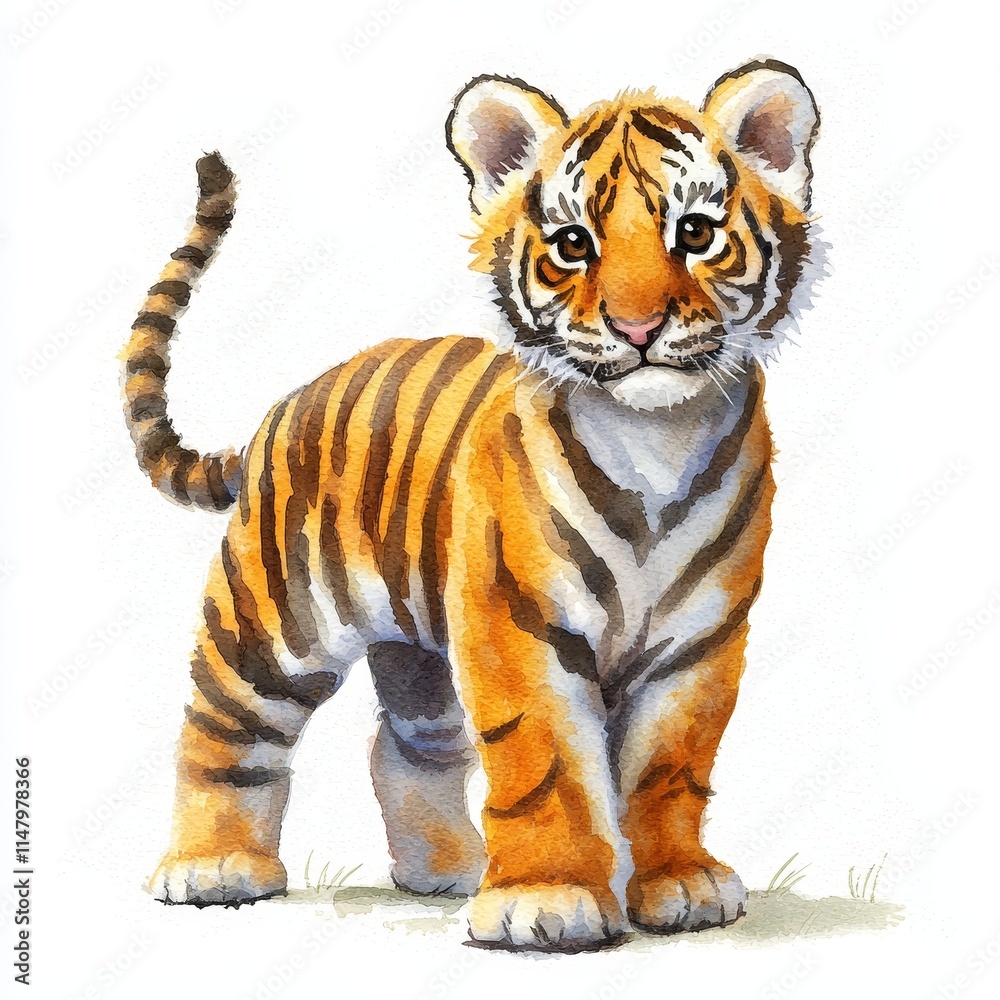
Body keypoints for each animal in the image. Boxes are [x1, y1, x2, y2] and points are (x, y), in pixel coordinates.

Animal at [122, 58, 821, 951]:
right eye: (573, 245)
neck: (655, 437)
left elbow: (672, 762)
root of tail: (281, 409)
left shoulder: (700, 636)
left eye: (695, 234)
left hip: (414, 648)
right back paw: (212, 867)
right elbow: (546, 759)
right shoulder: (515, 617)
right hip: (273, 621)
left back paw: (446, 870)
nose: (638, 328)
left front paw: (679, 882)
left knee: (403, 747)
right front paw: (547, 898)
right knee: (222, 729)